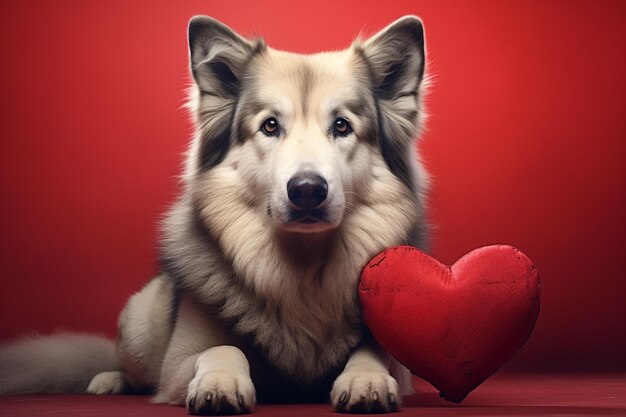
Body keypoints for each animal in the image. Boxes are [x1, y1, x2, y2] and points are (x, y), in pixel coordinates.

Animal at [0, 15, 428, 412]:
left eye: (341, 126)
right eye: (270, 126)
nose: (307, 190)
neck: (302, 273)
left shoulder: (399, 363)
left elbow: (376, 353)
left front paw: (365, 379)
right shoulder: (176, 365)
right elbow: (223, 350)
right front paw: (220, 383)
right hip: (139, 324)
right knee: (134, 369)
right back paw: (110, 379)